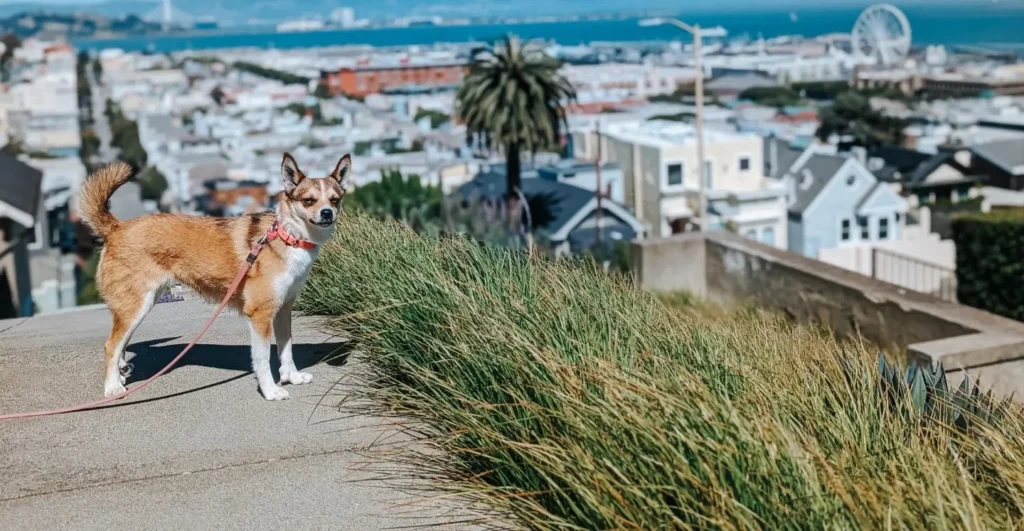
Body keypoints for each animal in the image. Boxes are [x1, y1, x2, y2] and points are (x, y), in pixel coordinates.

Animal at [79, 151, 352, 401]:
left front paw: (292, 376)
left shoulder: (283, 308)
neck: (288, 237)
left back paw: (121, 371)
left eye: (335, 200)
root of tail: (117, 227)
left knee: (121, 342)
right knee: (111, 345)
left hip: (142, 302)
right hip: (137, 304)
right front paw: (270, 390)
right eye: (308, 200)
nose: (327, 213)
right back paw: (113, 387)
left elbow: (286, 348)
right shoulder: (260, 314)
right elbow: (263, 358)